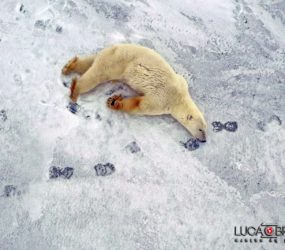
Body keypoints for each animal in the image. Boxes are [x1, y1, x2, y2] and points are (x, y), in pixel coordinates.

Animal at [61, 43, 206, 142]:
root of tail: (115, 47)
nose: (204, 140)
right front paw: (114, 102)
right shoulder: (164, 98)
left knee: (90, 62)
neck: (181, 98)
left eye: (206, 129)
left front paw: (113, 100)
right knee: (97, 75)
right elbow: (141, 105)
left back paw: (69, 66)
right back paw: (75, 91)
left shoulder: (182, 82)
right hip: (118, 63)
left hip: (107, 56)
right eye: (201, 129)